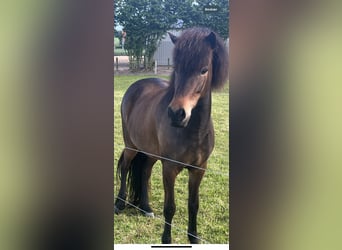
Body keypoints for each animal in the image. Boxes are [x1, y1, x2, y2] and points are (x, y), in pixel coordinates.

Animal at [115, 27, 230, 244]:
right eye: (176, 68)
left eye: (204, 70)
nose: (177, 113)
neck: (193, 133)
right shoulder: (169, 168)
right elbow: (170, 207)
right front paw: (166, 240)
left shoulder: (199, 170)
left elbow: (193, 205)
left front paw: (193, 238)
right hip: (131, 146)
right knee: (125, 167)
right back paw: (119, 203)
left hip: (150, 152)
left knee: (145, 171)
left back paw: (146, 208)